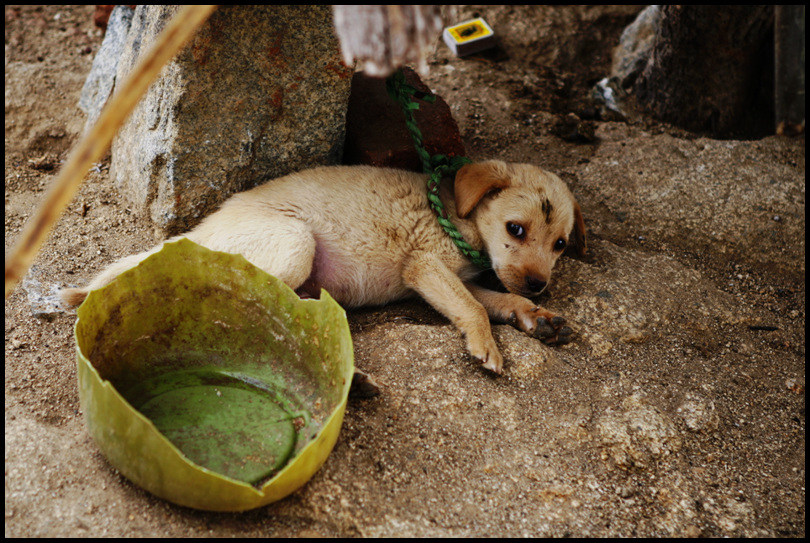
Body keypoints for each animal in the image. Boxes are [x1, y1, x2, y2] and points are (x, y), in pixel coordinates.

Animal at [60, 159, 584, 376]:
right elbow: (471, 308)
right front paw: (485, 344)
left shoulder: (456, 278)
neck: (459, 214)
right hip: (294, 243)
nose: (540, 286)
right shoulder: (425, 265)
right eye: (516, 229)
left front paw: (533, 316)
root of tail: (195, 233)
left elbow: (494, 297)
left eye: (560, 244)